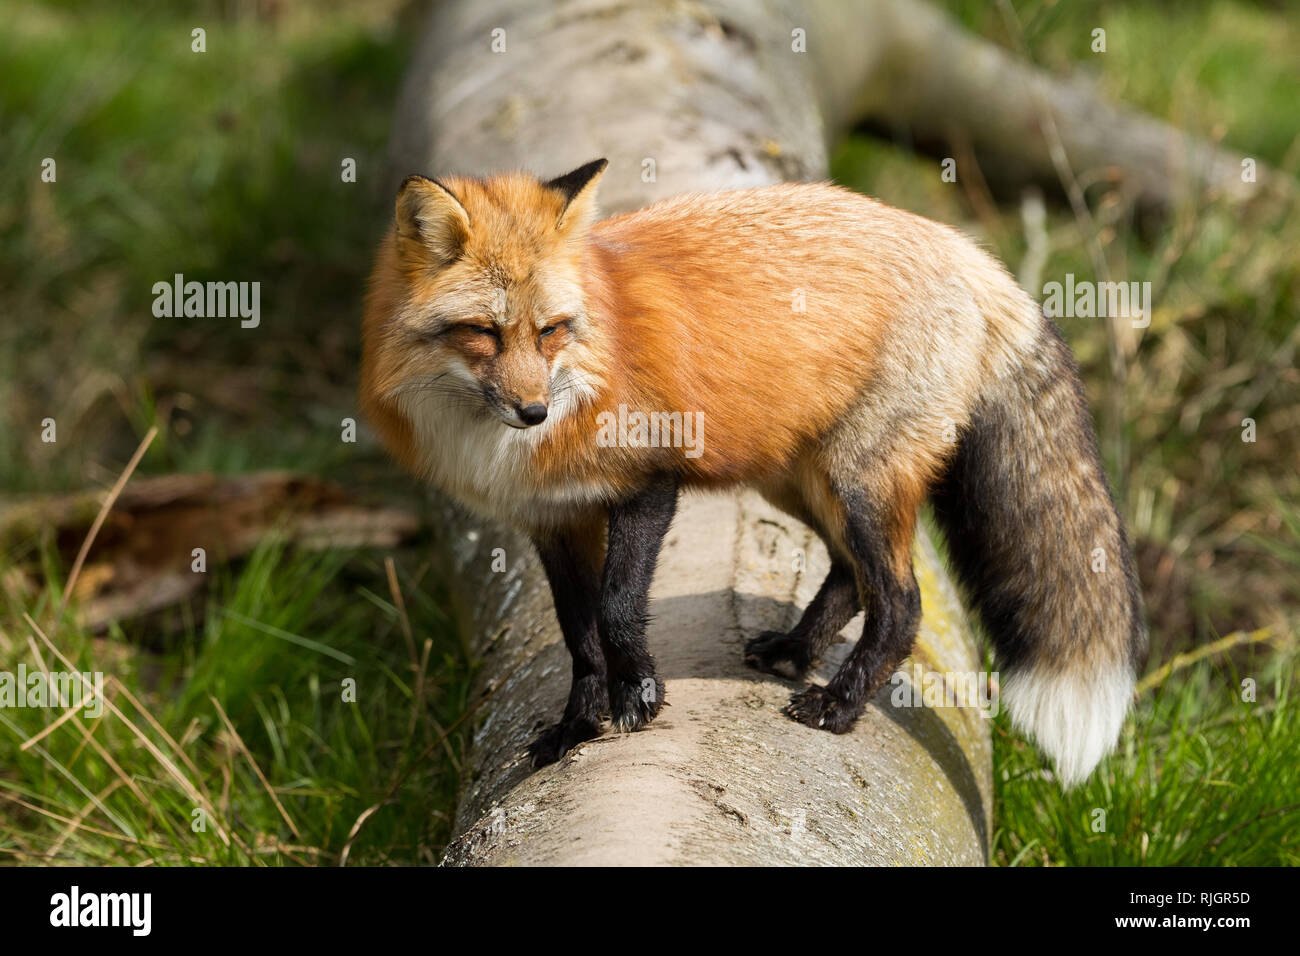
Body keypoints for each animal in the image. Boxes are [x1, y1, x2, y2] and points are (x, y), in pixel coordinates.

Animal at [360, 159, 1146, 786]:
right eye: (483, 333)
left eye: (550, 330)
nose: (532, 412)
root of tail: (966, 250)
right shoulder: (553, 520)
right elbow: (578, 638)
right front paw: (577, 727)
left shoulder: (648, 482)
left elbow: (617, 609)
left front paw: (638, 696)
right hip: (799, 480)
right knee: (849, 576)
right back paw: (796, 651)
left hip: (859, 482)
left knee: (902, 603)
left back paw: (839, 705)